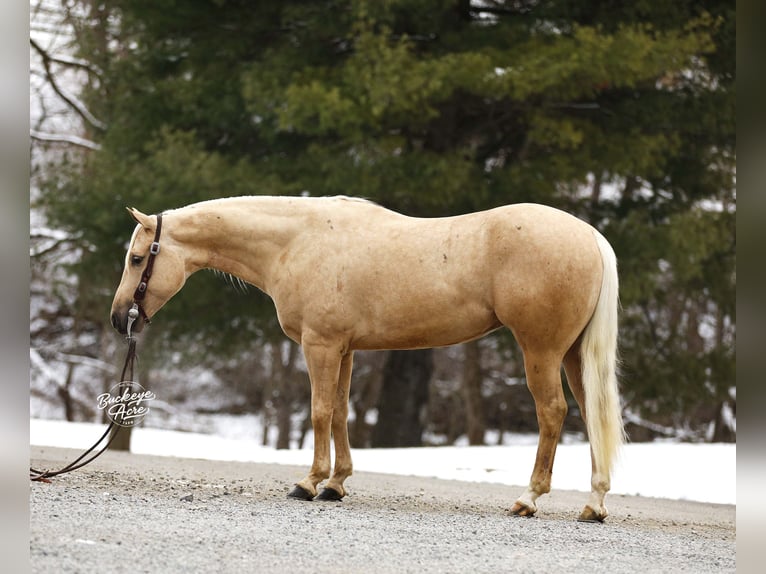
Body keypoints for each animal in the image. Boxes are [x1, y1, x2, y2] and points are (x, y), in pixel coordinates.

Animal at [110, 195, 624, 522]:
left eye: (136, 258)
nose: (120, 319)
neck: (297, 241)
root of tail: (591, 237)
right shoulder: (345, 349)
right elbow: (340, 413)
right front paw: (336, 485)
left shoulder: (319, 345)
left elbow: (319, 412)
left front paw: (309, 482)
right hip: (573, 355)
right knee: (590, 414)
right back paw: (594, 505)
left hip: (541, 350)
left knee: (552, 412)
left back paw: (528, 499)